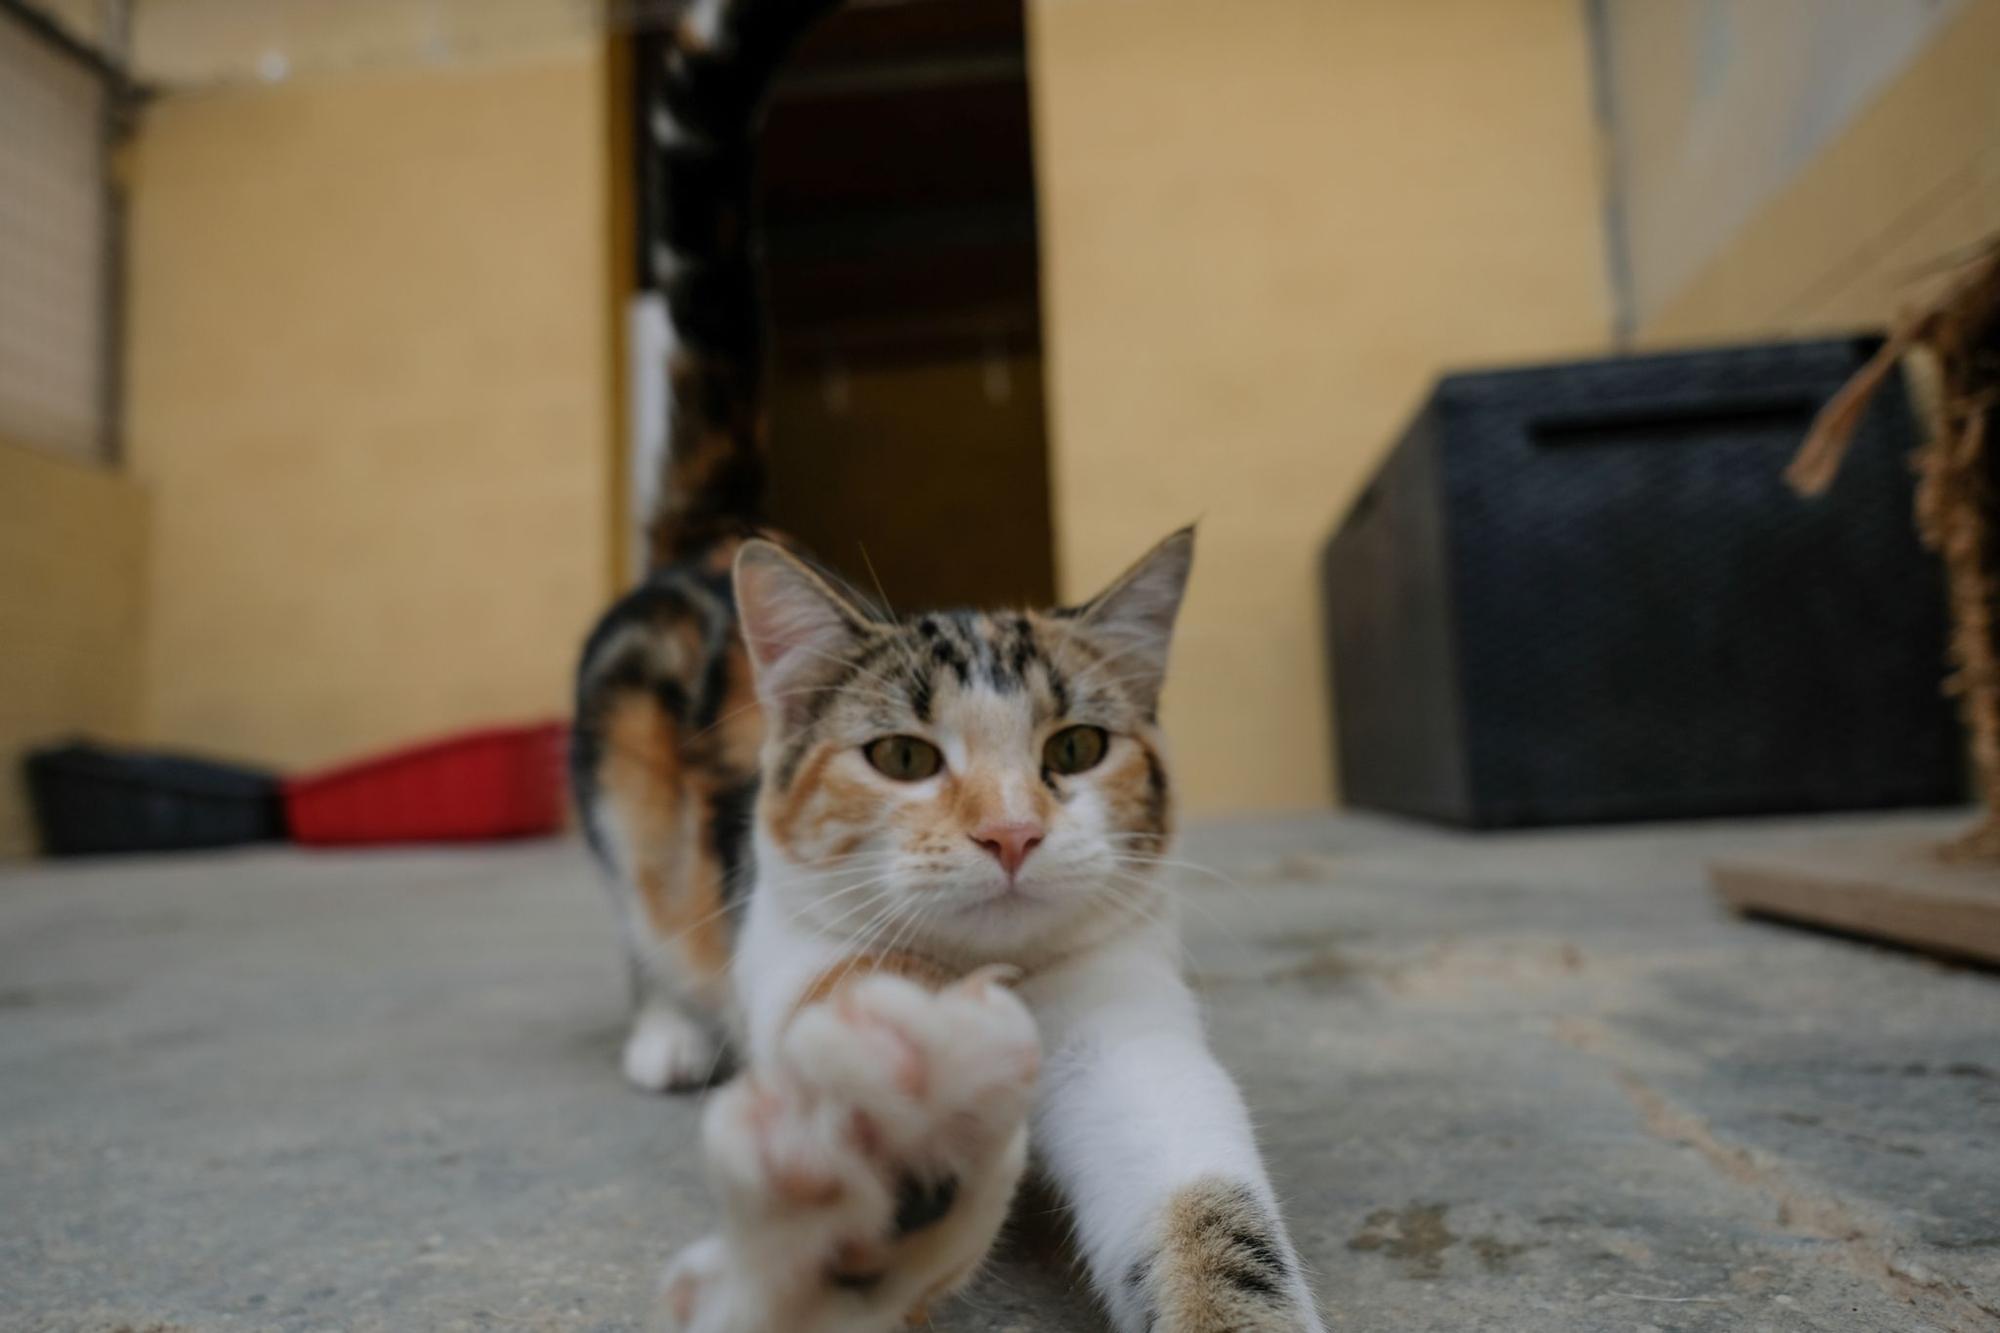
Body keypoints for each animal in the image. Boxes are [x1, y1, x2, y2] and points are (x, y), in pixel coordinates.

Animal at [572, 2, 1328, 1328]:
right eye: (899, 755)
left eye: (1074, 746)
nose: (1012, 831)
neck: (996, 980)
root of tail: (719, 535)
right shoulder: (796, 952)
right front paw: (885, 1137)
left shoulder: (1132, 1032)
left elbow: (1208, 1210)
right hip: (621, 775)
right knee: (646, 915)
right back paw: (669, 1030)